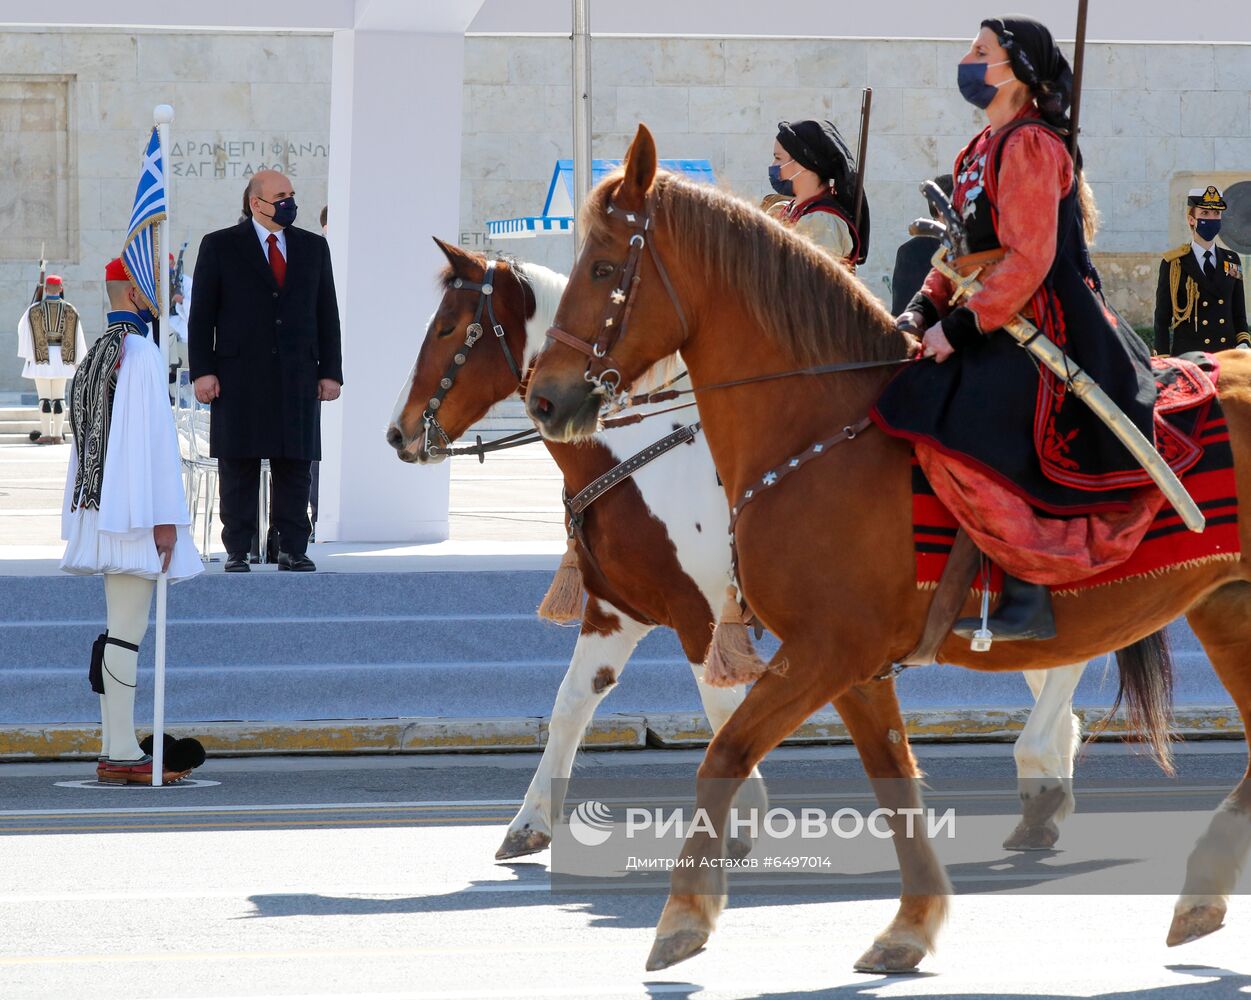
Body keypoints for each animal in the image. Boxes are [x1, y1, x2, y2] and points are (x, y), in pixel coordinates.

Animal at [390, 240, 1095, 861]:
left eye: (449, 327)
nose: (397, 433)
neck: (632, 456)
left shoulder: (701, 614)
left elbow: (719, 706)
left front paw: (738, 819)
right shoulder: (616, 612)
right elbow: (570, 705)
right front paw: (530, 822)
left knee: (1068, 664)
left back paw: (1041, 774)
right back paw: (1047, 786)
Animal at [522, 127, 1251, 976]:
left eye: (604, 268)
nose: (545, 398)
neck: (815, 425)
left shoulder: (821, 650)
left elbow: (724, 754)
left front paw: (683, 916)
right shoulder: (848, 663)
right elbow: (892, 779)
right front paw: (908, 926)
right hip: (1225, 609)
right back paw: (1196, 893)